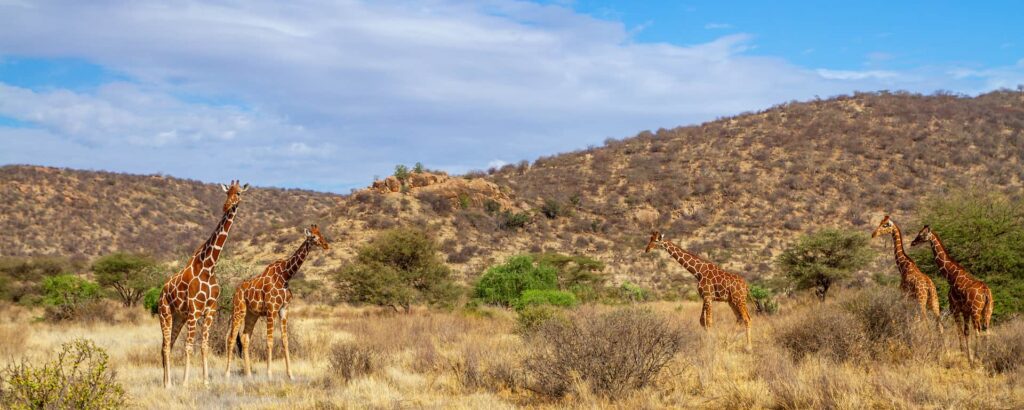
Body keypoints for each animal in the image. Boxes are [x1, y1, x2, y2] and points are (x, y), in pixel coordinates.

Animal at [158, 180, 249, 388]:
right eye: (226, 193)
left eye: (238, 193)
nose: (226, 206)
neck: (209, 266)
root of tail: (161, 292)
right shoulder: (194, 310)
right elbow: (189, 346)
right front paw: (185, 382)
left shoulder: (210, 310)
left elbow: (205, 345)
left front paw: (206, 380)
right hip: (165, 313)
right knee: (165, 346)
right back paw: (168, 384)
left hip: (179, 317)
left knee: (168, 344)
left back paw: (167, 381)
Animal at [224, 224, 329, 380]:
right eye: (313, 236)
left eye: (321, 234)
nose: (326, 245)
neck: (285, 276)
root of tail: (235, 291)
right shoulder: (271, 310)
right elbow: (269, 341)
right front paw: (269, 374)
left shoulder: (284, 310)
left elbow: (285, 341)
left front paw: (290, 375)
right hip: (239, 310)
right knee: (231, 338)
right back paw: (227, 373)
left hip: (251, 314)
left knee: (244, 338)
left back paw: (248, 374)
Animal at [910, 225, 993, 363]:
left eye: (922, 234)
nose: (913, 242)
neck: (952, 277)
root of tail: (986, 291)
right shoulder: (965, 311)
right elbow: (966, 332)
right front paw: (968, 356)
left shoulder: (955, 309)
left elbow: (960, 331)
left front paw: (965, 355)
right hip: (988, 311)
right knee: (987, 329)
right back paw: (986, 355)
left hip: (976, 311)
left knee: (978, 330)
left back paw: (978, 356)